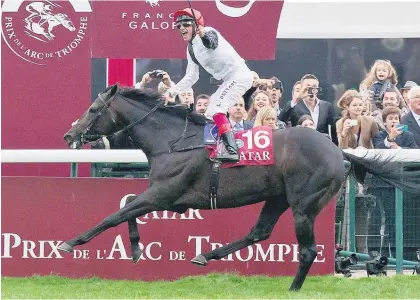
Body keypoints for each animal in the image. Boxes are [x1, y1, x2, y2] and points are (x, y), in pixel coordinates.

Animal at [58, 84, 420, 290]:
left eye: (93, 109)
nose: (69, 134)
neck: (172, 141)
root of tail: (337, 150)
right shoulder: (167, 197)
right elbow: (127, 204)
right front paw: (134, 248)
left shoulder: (164, 194)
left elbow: (115, 214)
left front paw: (71, 242)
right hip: (277, 198)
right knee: (258, 232)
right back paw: (205, 255)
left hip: (304, 204)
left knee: (306, 250)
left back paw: (292, 289)